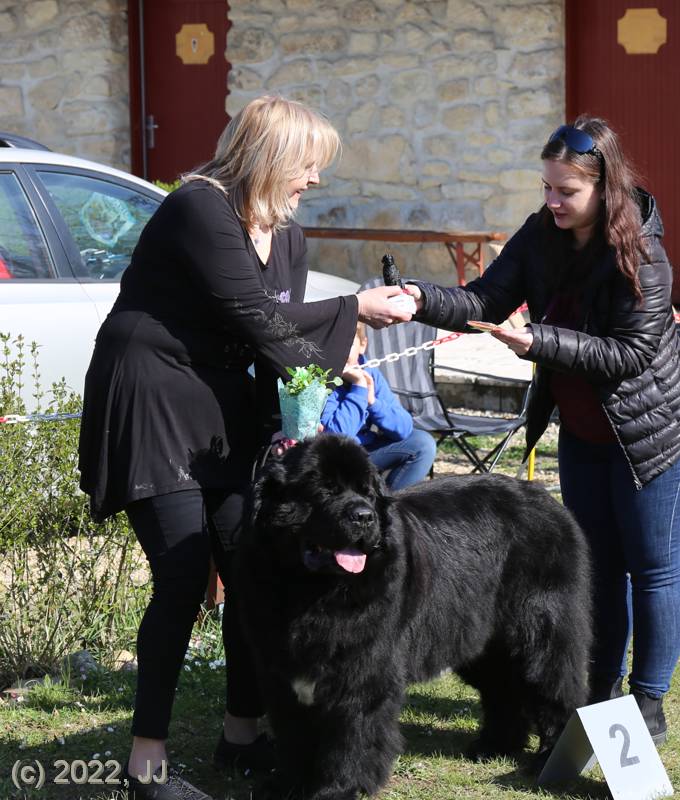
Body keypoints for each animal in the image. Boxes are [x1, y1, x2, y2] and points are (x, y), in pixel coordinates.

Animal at [236, 434, 592, 800]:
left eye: (367, 492)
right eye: (324, 489)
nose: (364, 516)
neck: (311, 591)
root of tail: (548, 500)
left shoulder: (363, 671)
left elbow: (351, 734)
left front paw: (336, 789)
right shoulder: (280, 673)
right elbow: (294, 735)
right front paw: (287, 784)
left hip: (542, 631)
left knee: (557, 687)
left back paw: (549, 758)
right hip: (480, 640)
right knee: (504, 689)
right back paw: (494, 746)